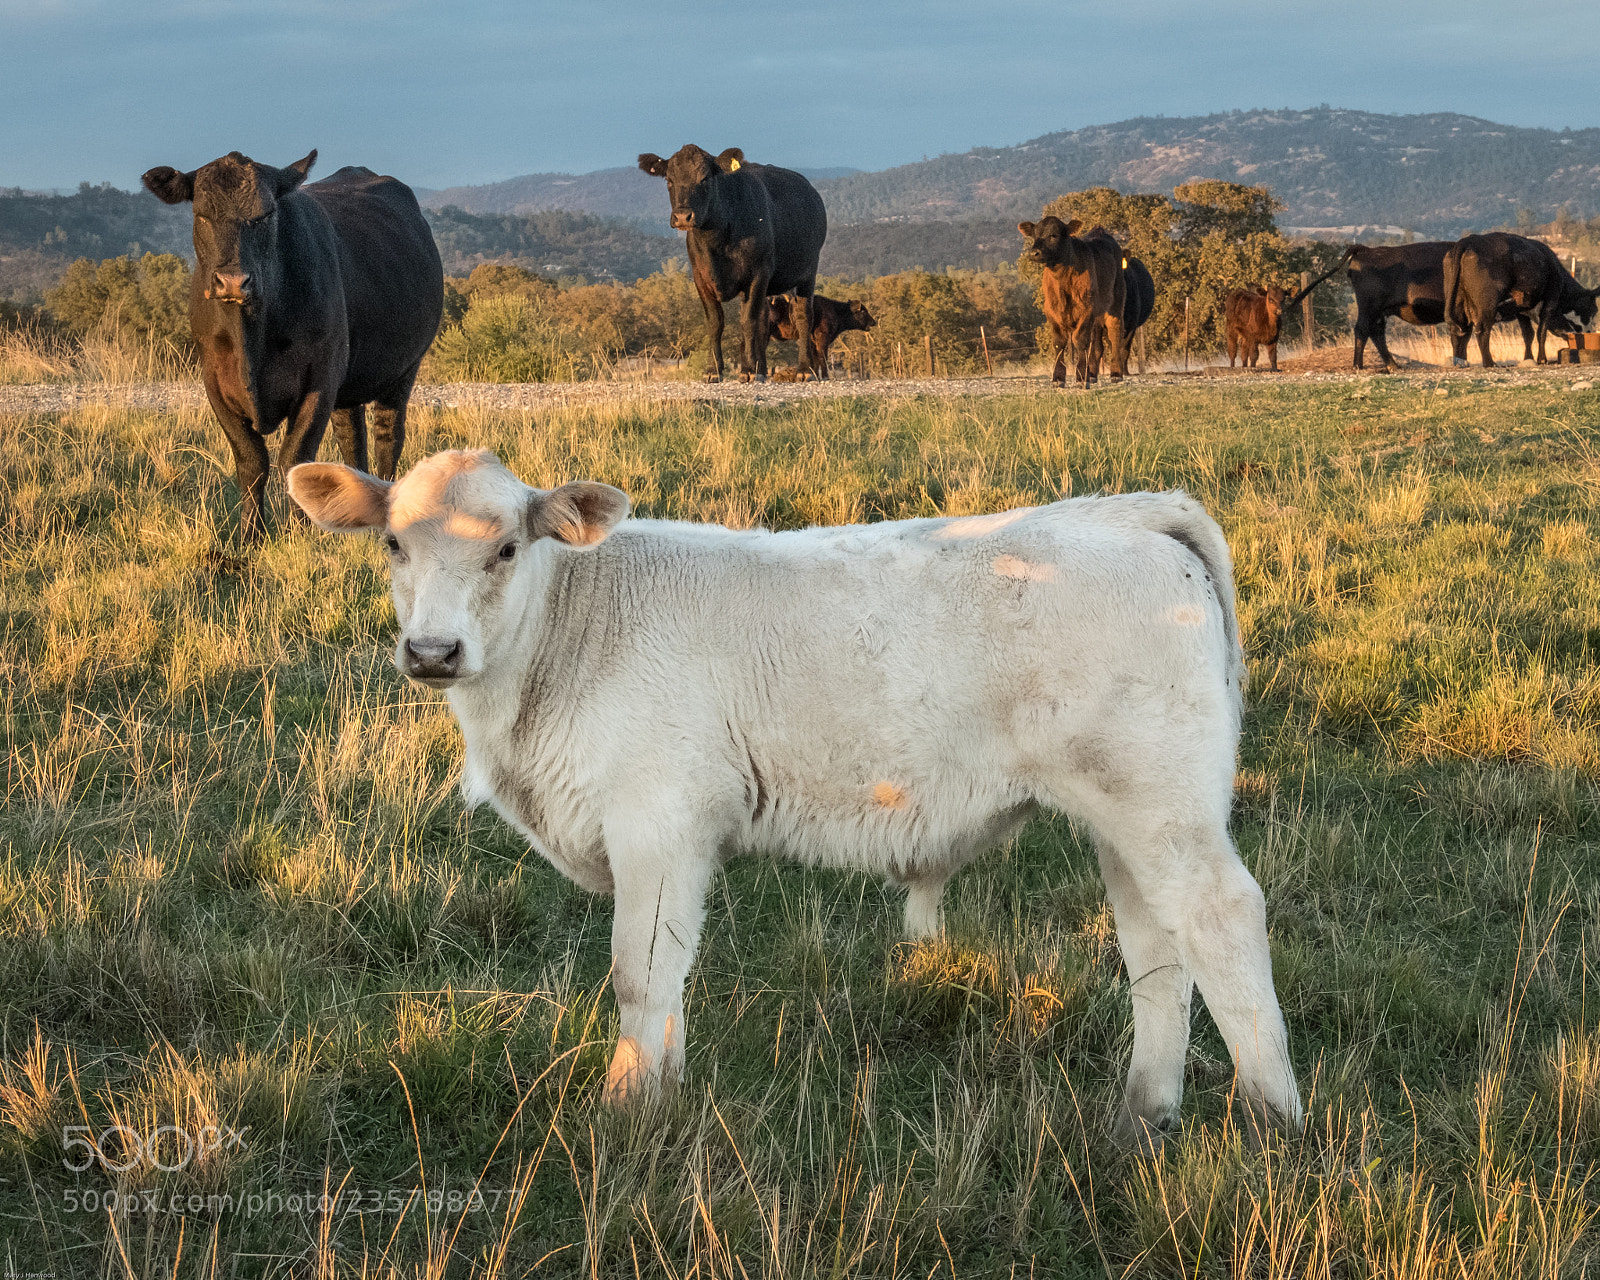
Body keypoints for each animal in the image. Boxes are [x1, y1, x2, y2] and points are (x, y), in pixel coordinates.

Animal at [142, 150, 443, 541]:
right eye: (202, 215)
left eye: (266, 214)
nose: (233, 281)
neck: (251, 337)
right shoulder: (214, 381)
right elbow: (251, 459)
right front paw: (250, 536)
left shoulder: (320, 377)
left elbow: (294, 457)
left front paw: (299, 532)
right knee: (352, 435)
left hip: (403, 369)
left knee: (387, 436)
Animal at [286, 447, 1304, 1150]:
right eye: (392, 542)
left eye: (504, 547)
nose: (432, 652)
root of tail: (1129, 512)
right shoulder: (679, 841)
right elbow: (669, 979)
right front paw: (663, 1093)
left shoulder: (656, 822)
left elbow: (637, 975)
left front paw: (625, 1114)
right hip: (1125, 817)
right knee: (1155, 948)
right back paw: (1141, 1118)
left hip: (1162, 807)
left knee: (1221, 919)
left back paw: (1273, 1120)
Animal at [638, 146, 827, 383]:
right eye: (669, 180)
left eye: (705, 179)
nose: (682, 216)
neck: (717, 242)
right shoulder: (700, 277)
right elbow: (715, 322)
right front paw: (714, 370)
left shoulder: (758, 273)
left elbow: (747, 321)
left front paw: (748, 370)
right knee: (763, 321)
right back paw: (761, 368)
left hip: (808, 272)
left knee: (802, 316)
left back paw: (804, 369)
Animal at [1017, 217, 1125, 387]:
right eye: (1034, 236)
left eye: (1053, 235)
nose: (1034, 253)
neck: (1062, 281)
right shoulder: (1051, 311)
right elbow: (1059, 342)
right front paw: (1058, 378)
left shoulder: (1086, 310)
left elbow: (1080, 341)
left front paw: (1081, 377)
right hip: (1097, 313)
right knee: (1095, 344)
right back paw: (1092, 374)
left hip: (1116, 302)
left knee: (1115, 334)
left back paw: (1116, 374)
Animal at [1444, 232, 1599, 368]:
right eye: (1593, 310)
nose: (1589, 332)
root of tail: (1468, 240)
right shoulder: (1551, 299)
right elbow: (1541, 331)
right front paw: (1542, 359)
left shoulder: (1522, 309)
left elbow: (1528, 334)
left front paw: (1528, 358)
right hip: (1487, 304)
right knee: (1481, 330)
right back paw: (1489, 363)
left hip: (1458, 302)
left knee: (1459, 331)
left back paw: (1460, 361)